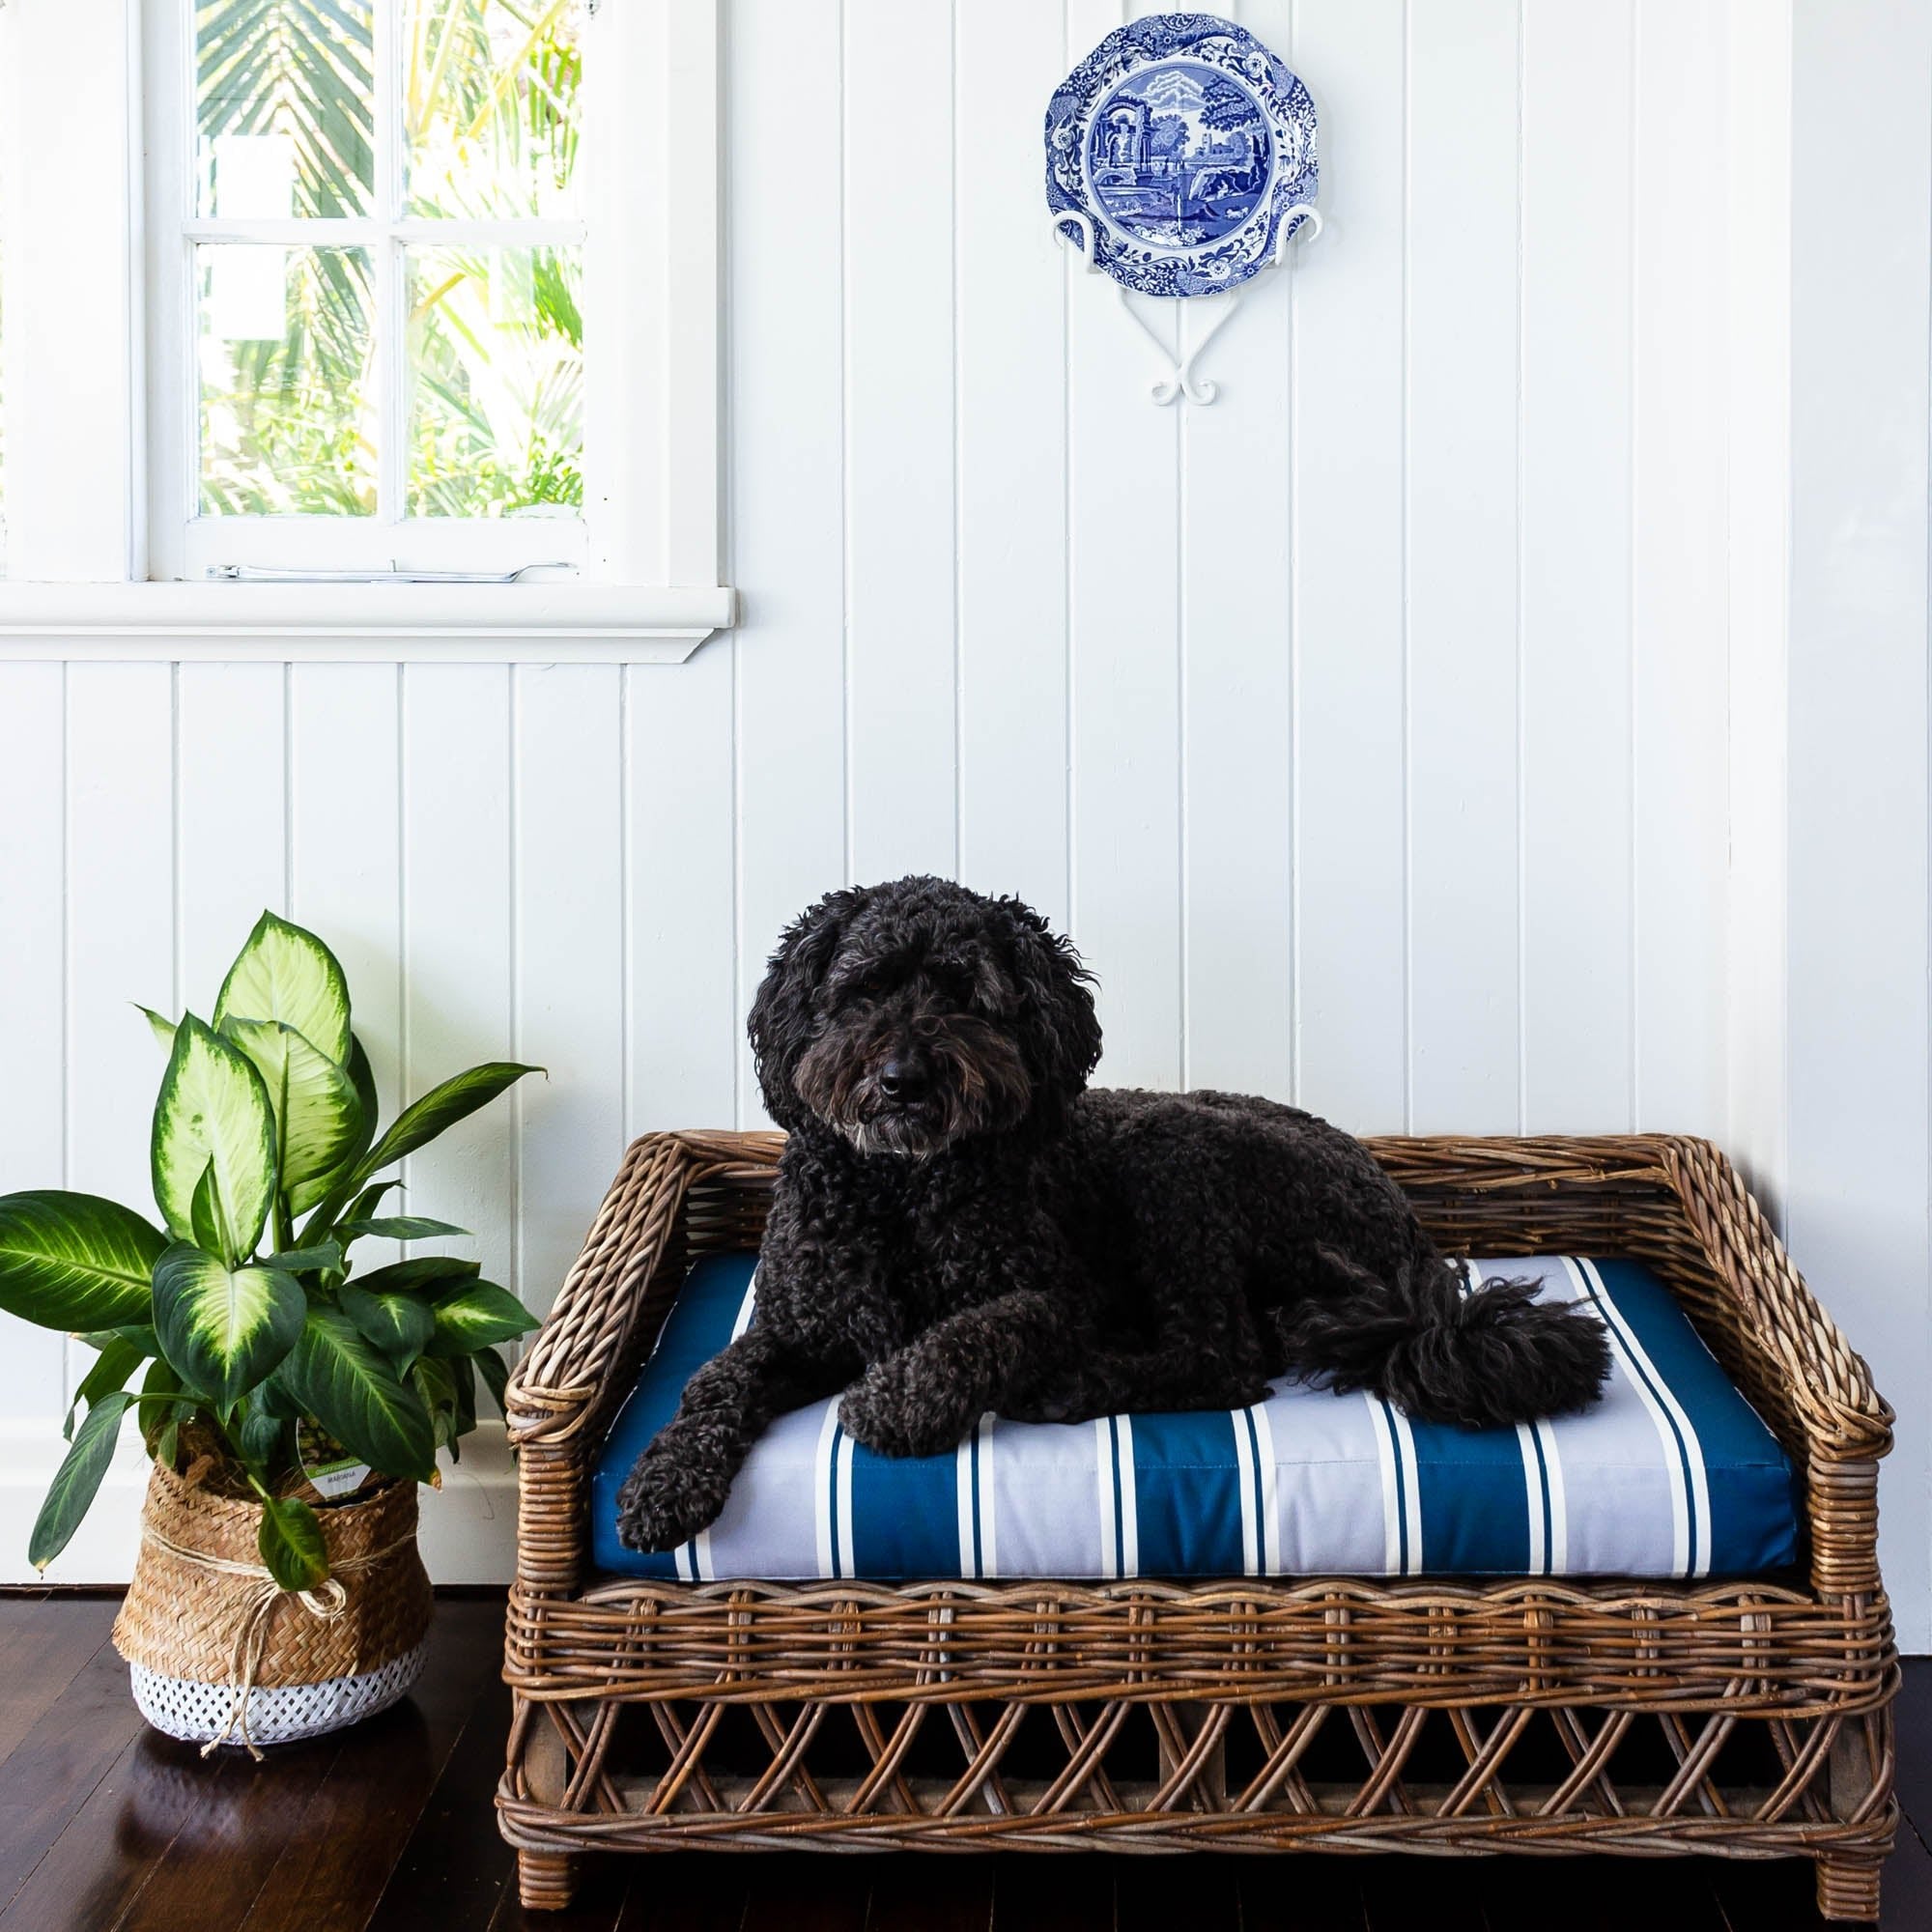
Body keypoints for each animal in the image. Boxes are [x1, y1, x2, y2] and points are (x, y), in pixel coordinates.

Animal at [614, 881, 1600, 1553]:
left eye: (965, 996)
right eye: (861, 991)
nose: (902, 1080)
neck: (902, 1191)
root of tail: (1410, 1247)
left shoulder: (1056, 1297)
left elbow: (979, 1332)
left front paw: (893, 1405)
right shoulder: (801, 1328)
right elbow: (715, 1381)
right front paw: (664, 1477)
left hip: (1175, 1156)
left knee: (1223, 1358)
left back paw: (1073, 1385)